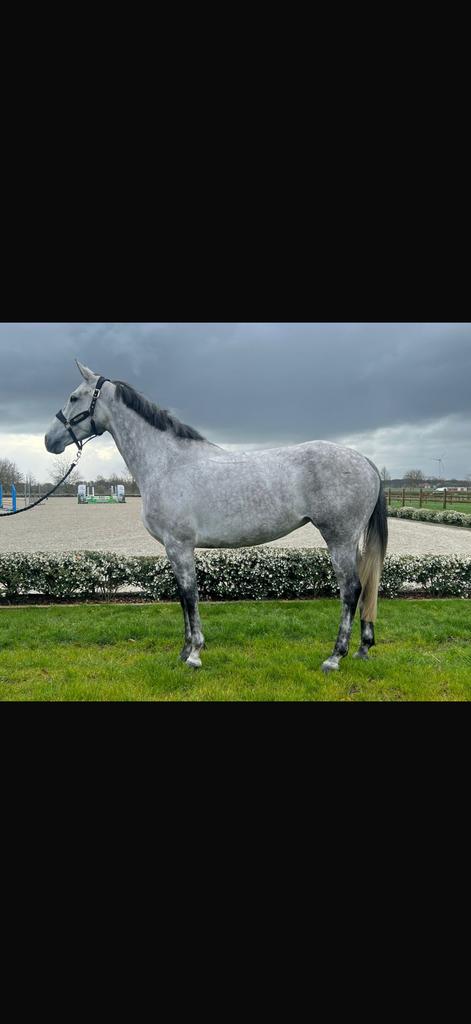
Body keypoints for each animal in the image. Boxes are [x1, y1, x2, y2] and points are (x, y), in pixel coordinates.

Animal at [45, 360, 388, 673]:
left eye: (74, 397)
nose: (49, 440)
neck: (167, 463)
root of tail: (365, 460)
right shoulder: (173, 548)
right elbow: (183, 598)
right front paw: (184, 651)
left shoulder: (180, 545)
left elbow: (190, 595)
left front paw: (194, 654)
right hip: (351, 541)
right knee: (366, 585)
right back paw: (363, 648)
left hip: (339, 538)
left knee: (351, 590)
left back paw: (335, 657)